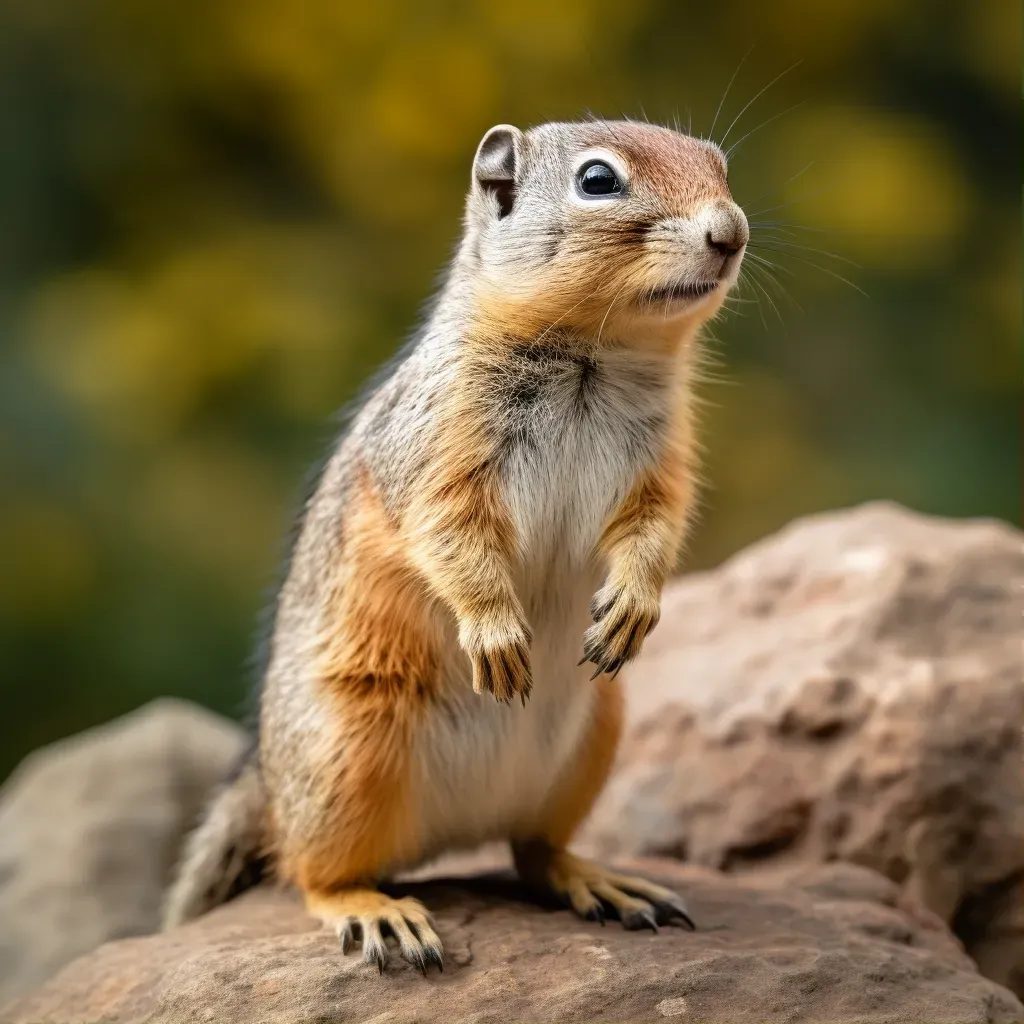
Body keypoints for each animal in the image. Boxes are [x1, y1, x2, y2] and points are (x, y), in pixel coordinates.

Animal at [163, 116, 749, 970]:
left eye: (719, 168)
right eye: (598, 181)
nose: (731, 231)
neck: (592, 357)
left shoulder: (662, 470)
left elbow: (654, 531)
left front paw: (633, 607)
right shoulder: (438, 458)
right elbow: (452, 541)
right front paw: (497, 633)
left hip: (593, 739)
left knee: (531, 851)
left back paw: (598, 880)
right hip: (346, 758)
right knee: (309, 872)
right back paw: (376, 912)